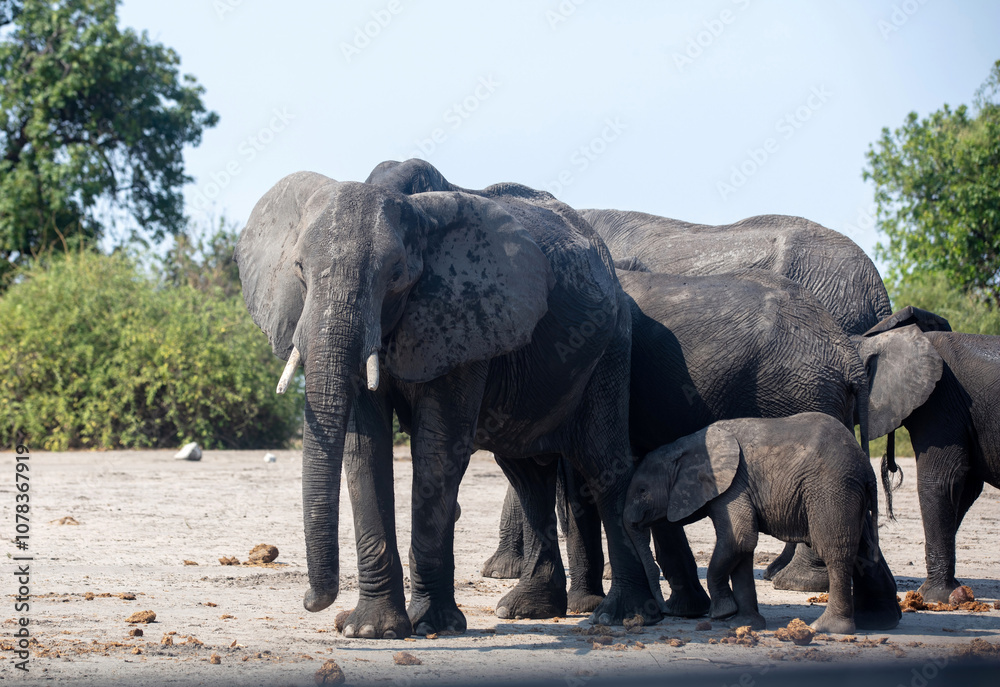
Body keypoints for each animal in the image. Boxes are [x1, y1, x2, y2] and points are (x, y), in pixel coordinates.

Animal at [233, 163, 664, 639]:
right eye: (298, 269)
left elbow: (436, 451)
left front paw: (430, 625)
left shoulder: (465, 321)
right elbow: (364, 450)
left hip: (611, 344)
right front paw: (370, 630)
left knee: (602, 462)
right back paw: (527, 609)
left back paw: (626, 615)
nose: (313, 602)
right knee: (526, 474)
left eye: (397, 274)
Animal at [625, 413, 895, 634]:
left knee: (835, 551)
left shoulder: (732, 486)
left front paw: (722, 613)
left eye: (642, 491)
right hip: (849, 492)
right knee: (864, 549)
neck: (683, 445)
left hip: (832, 489)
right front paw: (742, 623)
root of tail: (866, 468)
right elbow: (742, 549)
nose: (662, 612)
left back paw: (827, 628)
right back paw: (877, 623)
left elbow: (739, 538)